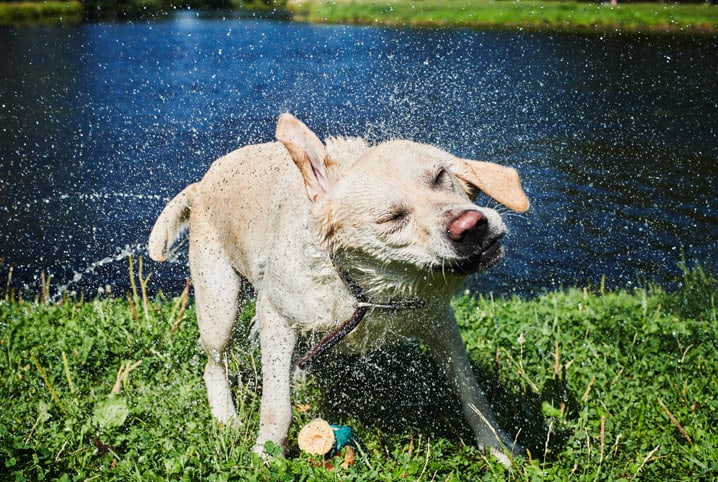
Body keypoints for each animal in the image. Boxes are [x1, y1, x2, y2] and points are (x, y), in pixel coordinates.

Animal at [149, 113, 532, 466]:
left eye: (440, 176)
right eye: (391, 217)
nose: (470, 226)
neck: (365, 291)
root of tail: (201, 183)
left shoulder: (439, 322)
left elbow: (472, 392)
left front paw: (498, 447)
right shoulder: (275, 316)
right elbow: (277, 405)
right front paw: (267, 454)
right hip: (220, 305)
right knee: (213, 364)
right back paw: (226, 419)